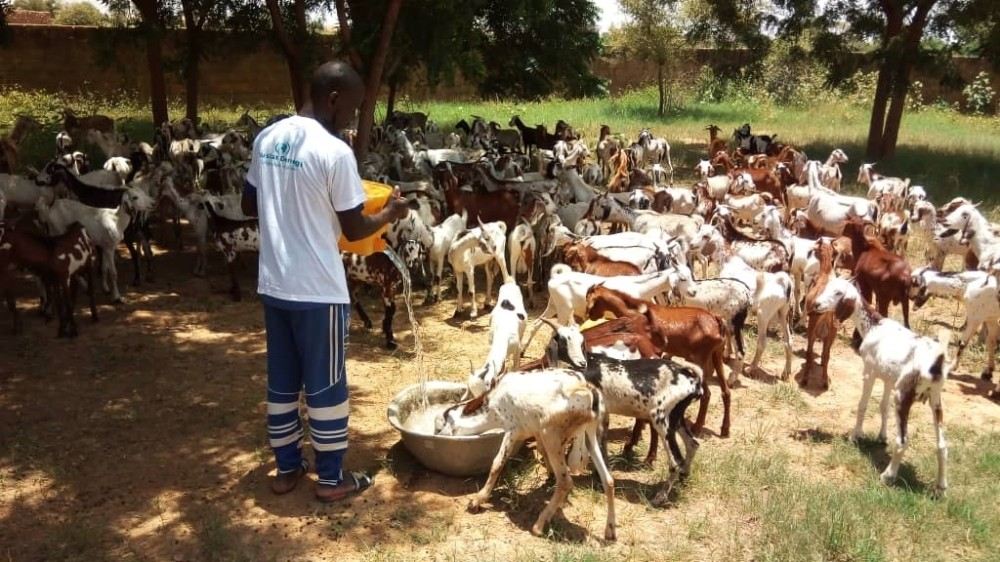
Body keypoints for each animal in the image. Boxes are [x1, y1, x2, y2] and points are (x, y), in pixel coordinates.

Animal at [584, 284, 732, 438]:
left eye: (592, 301)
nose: (589, 315)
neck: (635, 313)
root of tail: (716, 320)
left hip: (698, 359)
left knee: (707, 394)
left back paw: (697, 427)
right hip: (717, 354)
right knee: (726, 392)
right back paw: (725, 429)